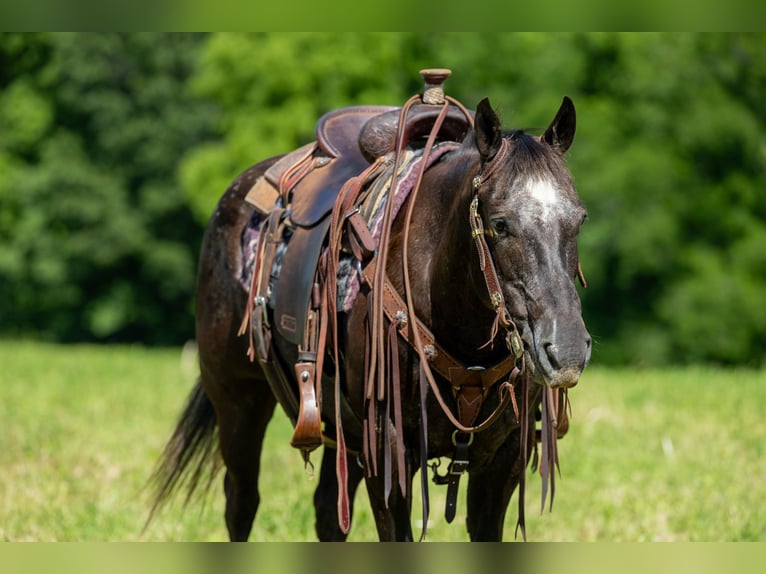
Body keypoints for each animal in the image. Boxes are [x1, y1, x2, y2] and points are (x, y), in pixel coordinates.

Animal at [147, 77, 591, 541]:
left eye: (579, 220)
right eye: (500, 223)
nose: (566, 350)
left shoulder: (502, 461)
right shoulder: (387, 451)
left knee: (327, 511)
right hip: (238, 399)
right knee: (241, 503)